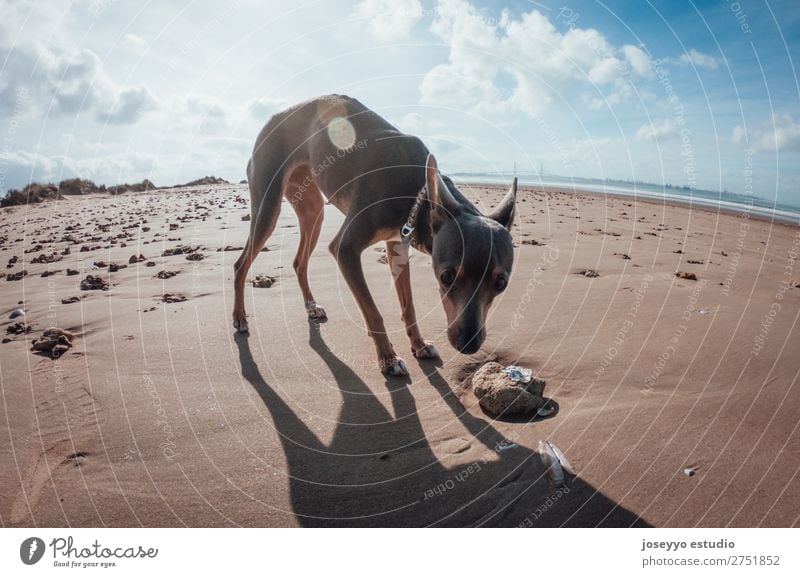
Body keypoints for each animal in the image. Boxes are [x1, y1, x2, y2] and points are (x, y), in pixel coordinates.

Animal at [233, 94, 520, 374]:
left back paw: (311, 307)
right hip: (268, 207)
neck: (417, 192)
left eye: (501, 283)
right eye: (446, 276)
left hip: (313, 210)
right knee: (241, 264)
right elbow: (373, 312)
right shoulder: (345, 250)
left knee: (298, 260)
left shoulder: (398, 246)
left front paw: (418, 345)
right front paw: (389, 359)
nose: (468, 345)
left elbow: (408, 305)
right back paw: (239, 318)